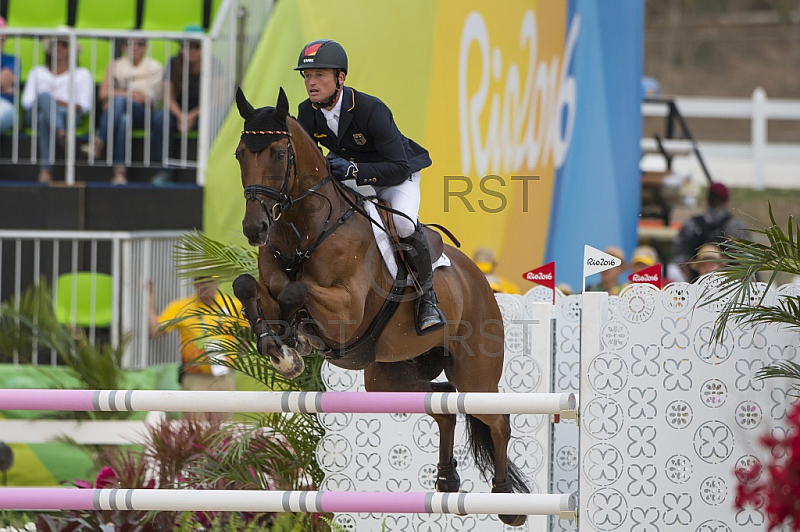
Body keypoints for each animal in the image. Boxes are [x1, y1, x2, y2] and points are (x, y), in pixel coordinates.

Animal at [231, 88, 528, 528]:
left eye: (280, 155)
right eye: (240, 154)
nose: (255, 229)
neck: (303, 229)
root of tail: (479, 280)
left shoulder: (346, 312)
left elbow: (294, 291)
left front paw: (291, 347)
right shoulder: (271, 283)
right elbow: (250, 285)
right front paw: (279, 346)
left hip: (475, 373)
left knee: (496, 418)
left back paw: (507, 501)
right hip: (390, 378)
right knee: (444, 406)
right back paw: (447, 480)